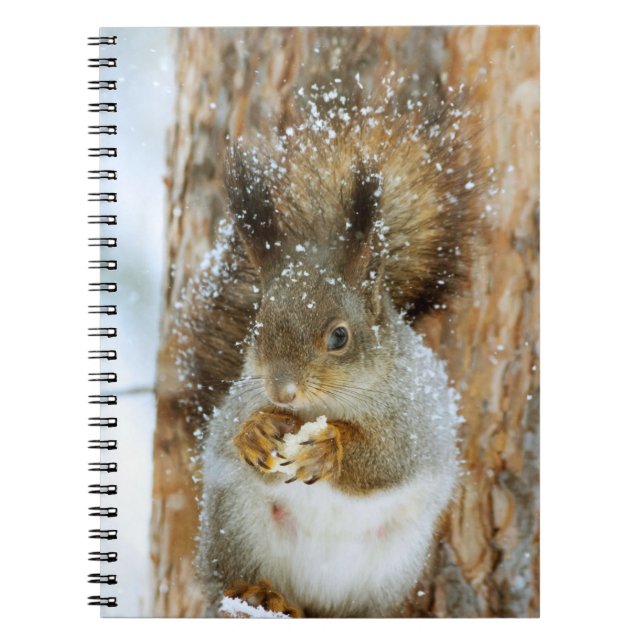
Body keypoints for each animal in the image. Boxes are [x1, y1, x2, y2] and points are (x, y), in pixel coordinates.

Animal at [177, 82, 482, 617]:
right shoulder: (236, 402)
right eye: (256, 327)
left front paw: (330, 447)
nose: (282, 391)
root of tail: (312, 599)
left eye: (340, 336)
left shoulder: (418, 419)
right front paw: (255, 432)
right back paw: (259, 593)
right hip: (234, 526)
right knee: (227, 581)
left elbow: (389, 458)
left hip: (389, 568)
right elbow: (225, 435)